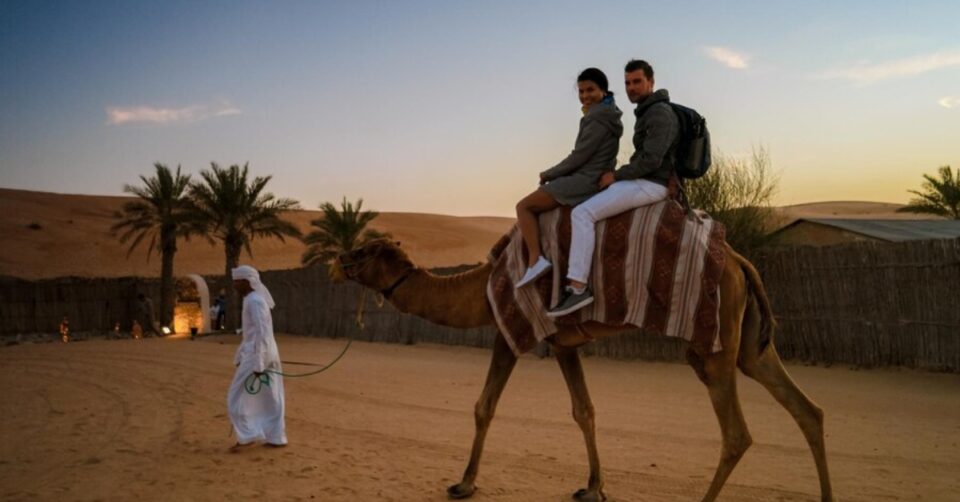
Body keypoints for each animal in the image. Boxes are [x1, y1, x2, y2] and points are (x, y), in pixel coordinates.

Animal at [338, 237, 832, 500]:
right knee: (807, 409)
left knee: (737, 434)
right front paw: (594, 487)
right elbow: (584, 410)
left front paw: (463, 483)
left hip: (715, 343)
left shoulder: (515, 332)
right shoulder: (562, 344)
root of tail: (741, 261)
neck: (480, 287)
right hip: (748, 343)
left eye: (363, 252)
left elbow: (486, 406)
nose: (339, 260)